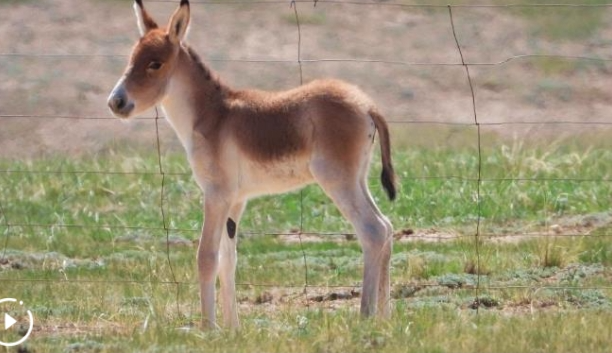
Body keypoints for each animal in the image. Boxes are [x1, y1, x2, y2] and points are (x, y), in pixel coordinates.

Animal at [108, 0, 396, 328]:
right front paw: (232, 327)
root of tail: (367, 105)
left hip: (337, 181)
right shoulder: (235, 200)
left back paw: (365, 316)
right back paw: (385, 317)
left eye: (155, 64)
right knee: (387, 228)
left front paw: (209, 328)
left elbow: (206, 257)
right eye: (132, 58)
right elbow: (227, 261)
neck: (211, 115)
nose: (116, 102)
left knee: (372, 231)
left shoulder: (216, 195)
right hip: (357, 179)